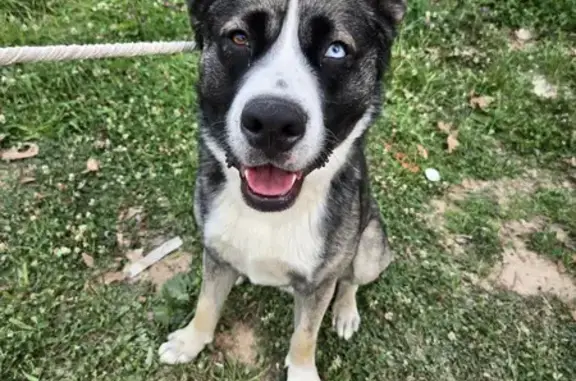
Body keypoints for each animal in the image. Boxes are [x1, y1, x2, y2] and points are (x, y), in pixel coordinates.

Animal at [159, 0, 404, 378]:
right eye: (239, 37)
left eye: (336, 50)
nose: (272, 122)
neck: (271, 213)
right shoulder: (213, 251)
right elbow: (206, 303)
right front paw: (190, 341)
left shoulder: (320, 283)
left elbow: (305, 335)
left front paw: (302, 371)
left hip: (370, 246)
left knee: (351, 279)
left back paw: (346, 311)